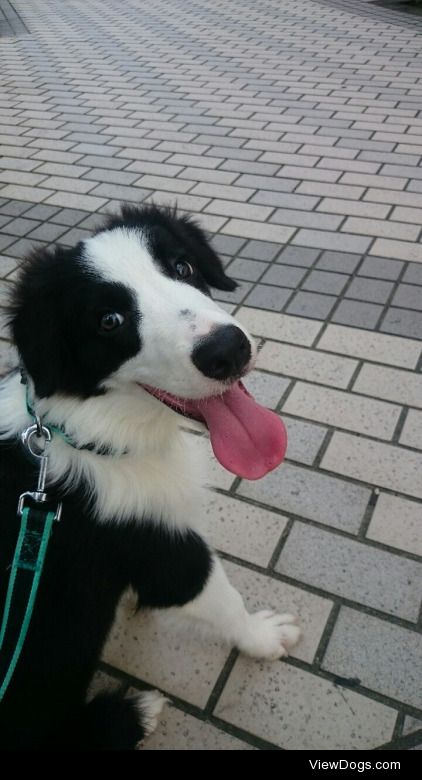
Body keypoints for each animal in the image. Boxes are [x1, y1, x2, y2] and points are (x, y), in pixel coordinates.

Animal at [0, 203, 300, 748]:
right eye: (109, 320)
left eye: (182, 266)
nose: (228, 350)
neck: (88, 436)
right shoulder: (160, 548)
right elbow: (221, 599)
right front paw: (265, 637)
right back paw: (140, 709)